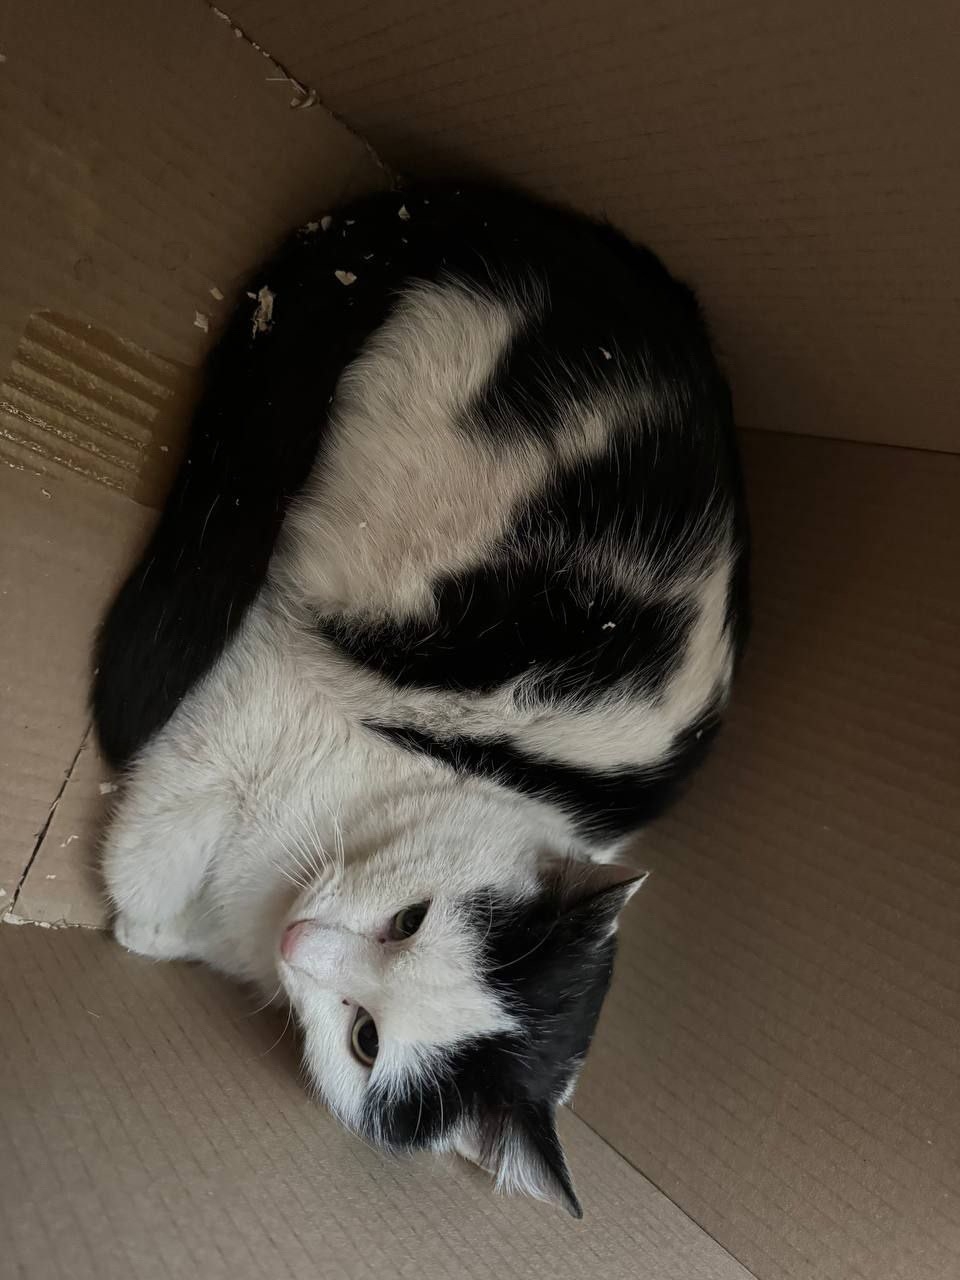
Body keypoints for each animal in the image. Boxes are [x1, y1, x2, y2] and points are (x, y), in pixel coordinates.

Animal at [92, 182, 749, 1217]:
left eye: (365, 1042)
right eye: (411, 919)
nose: (303, 943)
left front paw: (150, 935)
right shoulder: (256, 697)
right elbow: (159, 828)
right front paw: (138, 907)